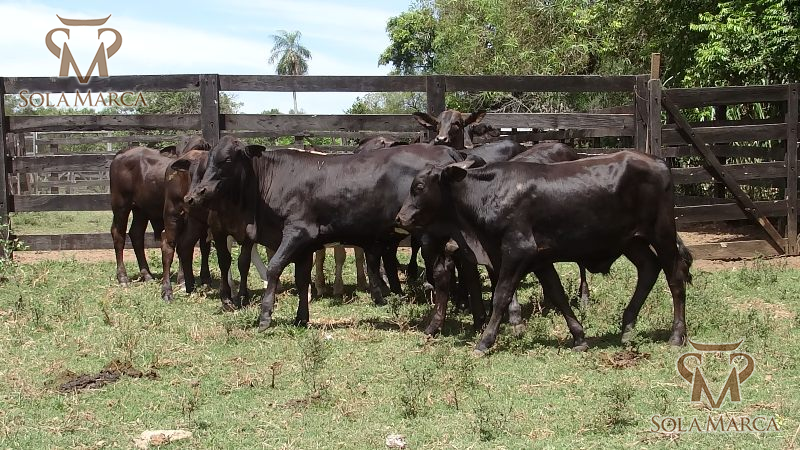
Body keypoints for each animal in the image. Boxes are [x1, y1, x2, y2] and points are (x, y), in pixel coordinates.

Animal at [184, 136, 464, 329]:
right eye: (208, 160)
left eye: (228, 160)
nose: (199, 193)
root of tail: (446, 151)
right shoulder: (306, 245)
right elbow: (301, 279)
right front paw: (301, 317)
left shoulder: (297, 232)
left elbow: (274, 268)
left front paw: (265, 316)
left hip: (429, 236)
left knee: (442, 272)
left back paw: (437, 322)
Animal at [396, 151, 693, 354]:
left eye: (419, 187)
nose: (400, 218)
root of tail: (659, 162)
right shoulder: (539, 259)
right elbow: (557, 294)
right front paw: (579, 337)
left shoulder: (517, 251)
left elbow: (501, 296)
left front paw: (485, 341)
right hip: (632, 241)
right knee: (648, 269)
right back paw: (628, 326)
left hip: (662, 234)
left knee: (675, 278)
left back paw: (676, 335)